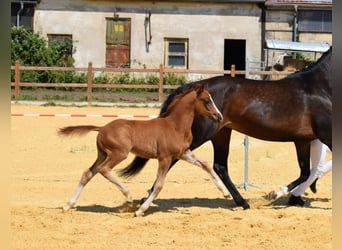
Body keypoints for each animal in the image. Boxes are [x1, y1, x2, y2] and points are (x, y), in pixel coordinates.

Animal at [59, 84, 227, 217]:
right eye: (206, 100)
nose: (219, 116)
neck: (175, 126)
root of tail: (102, 128)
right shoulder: (165, 158)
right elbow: (159, 185)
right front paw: (140, 210)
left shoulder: (183, 153)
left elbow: (205, 164)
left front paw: (225, 192)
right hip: (119, 154)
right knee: (104, 170)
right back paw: (128, 196)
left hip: (102, 154)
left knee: (88, 173)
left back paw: (68, 204)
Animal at [122, 47, 332, 209]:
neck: (320, 87)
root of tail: (195, 87)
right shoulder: (325, 136)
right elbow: (309, 172)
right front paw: (278, 194)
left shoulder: (303, 140)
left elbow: (305, 172)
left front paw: (283, 194)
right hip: (202, 134)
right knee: (176, 158)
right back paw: (146, 198)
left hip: (221, 133)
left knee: (220, 166)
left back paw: (242, 202)